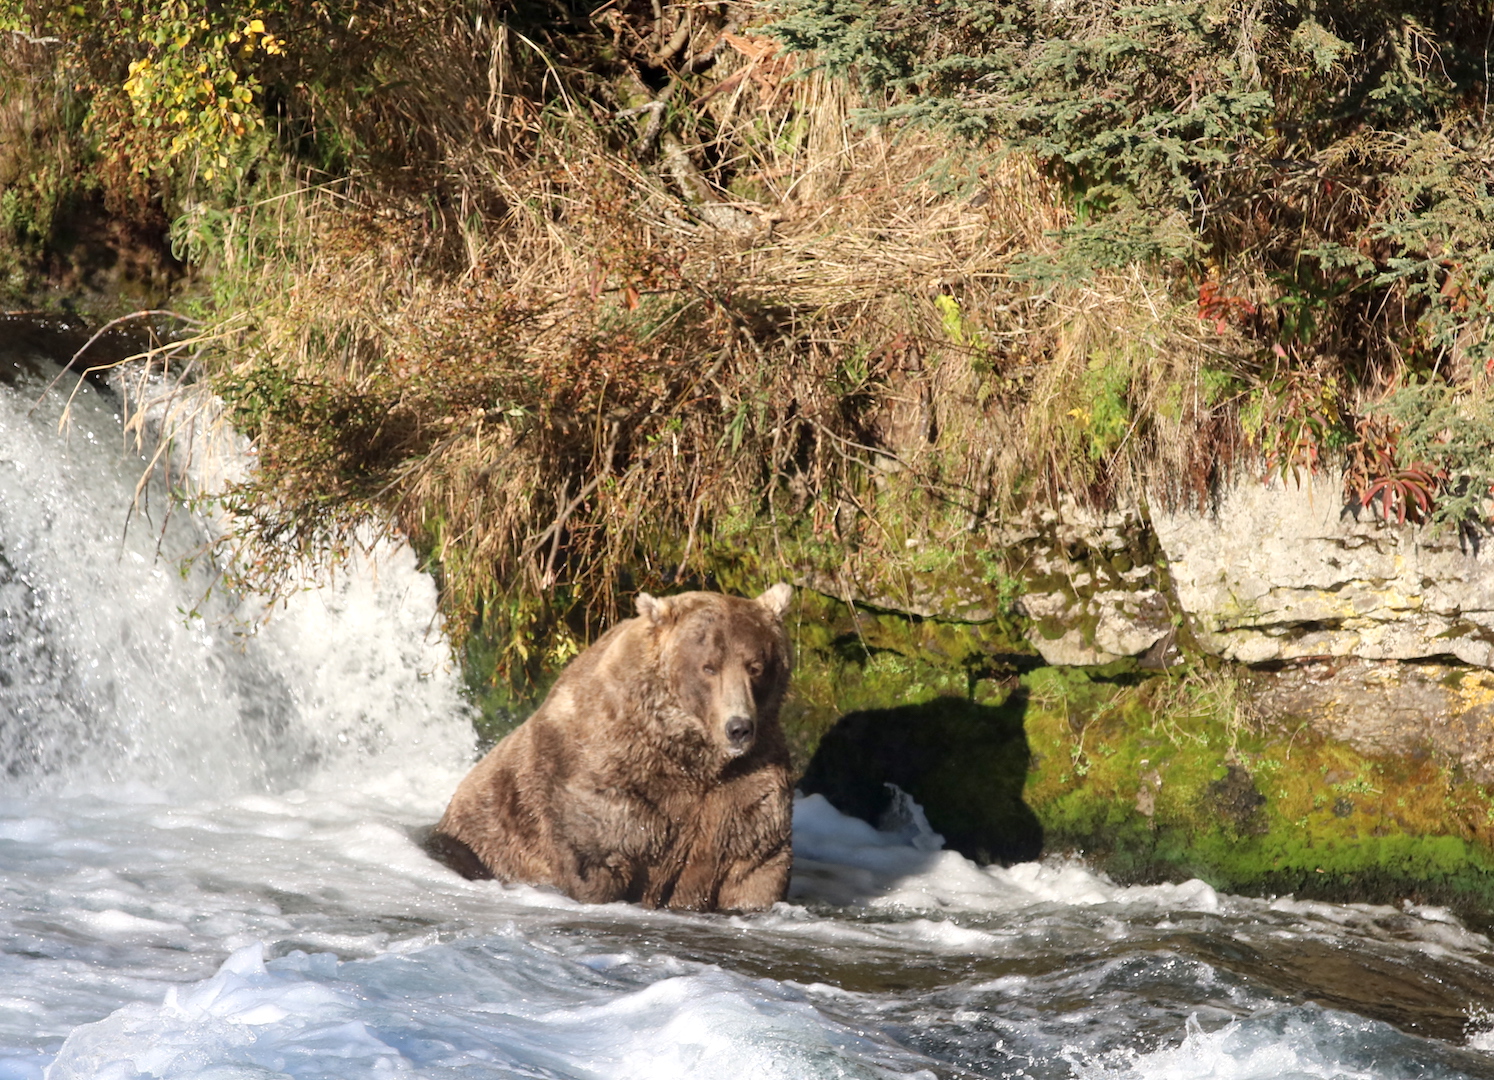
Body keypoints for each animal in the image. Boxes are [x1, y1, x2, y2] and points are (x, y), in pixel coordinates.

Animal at [432, 583, 795, 912]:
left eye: (755, 666)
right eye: (709, 666)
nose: (739, 728)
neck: (691, 756)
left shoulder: (744, 789)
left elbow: (754, 864)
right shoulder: (610, 777)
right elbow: (598, 852)